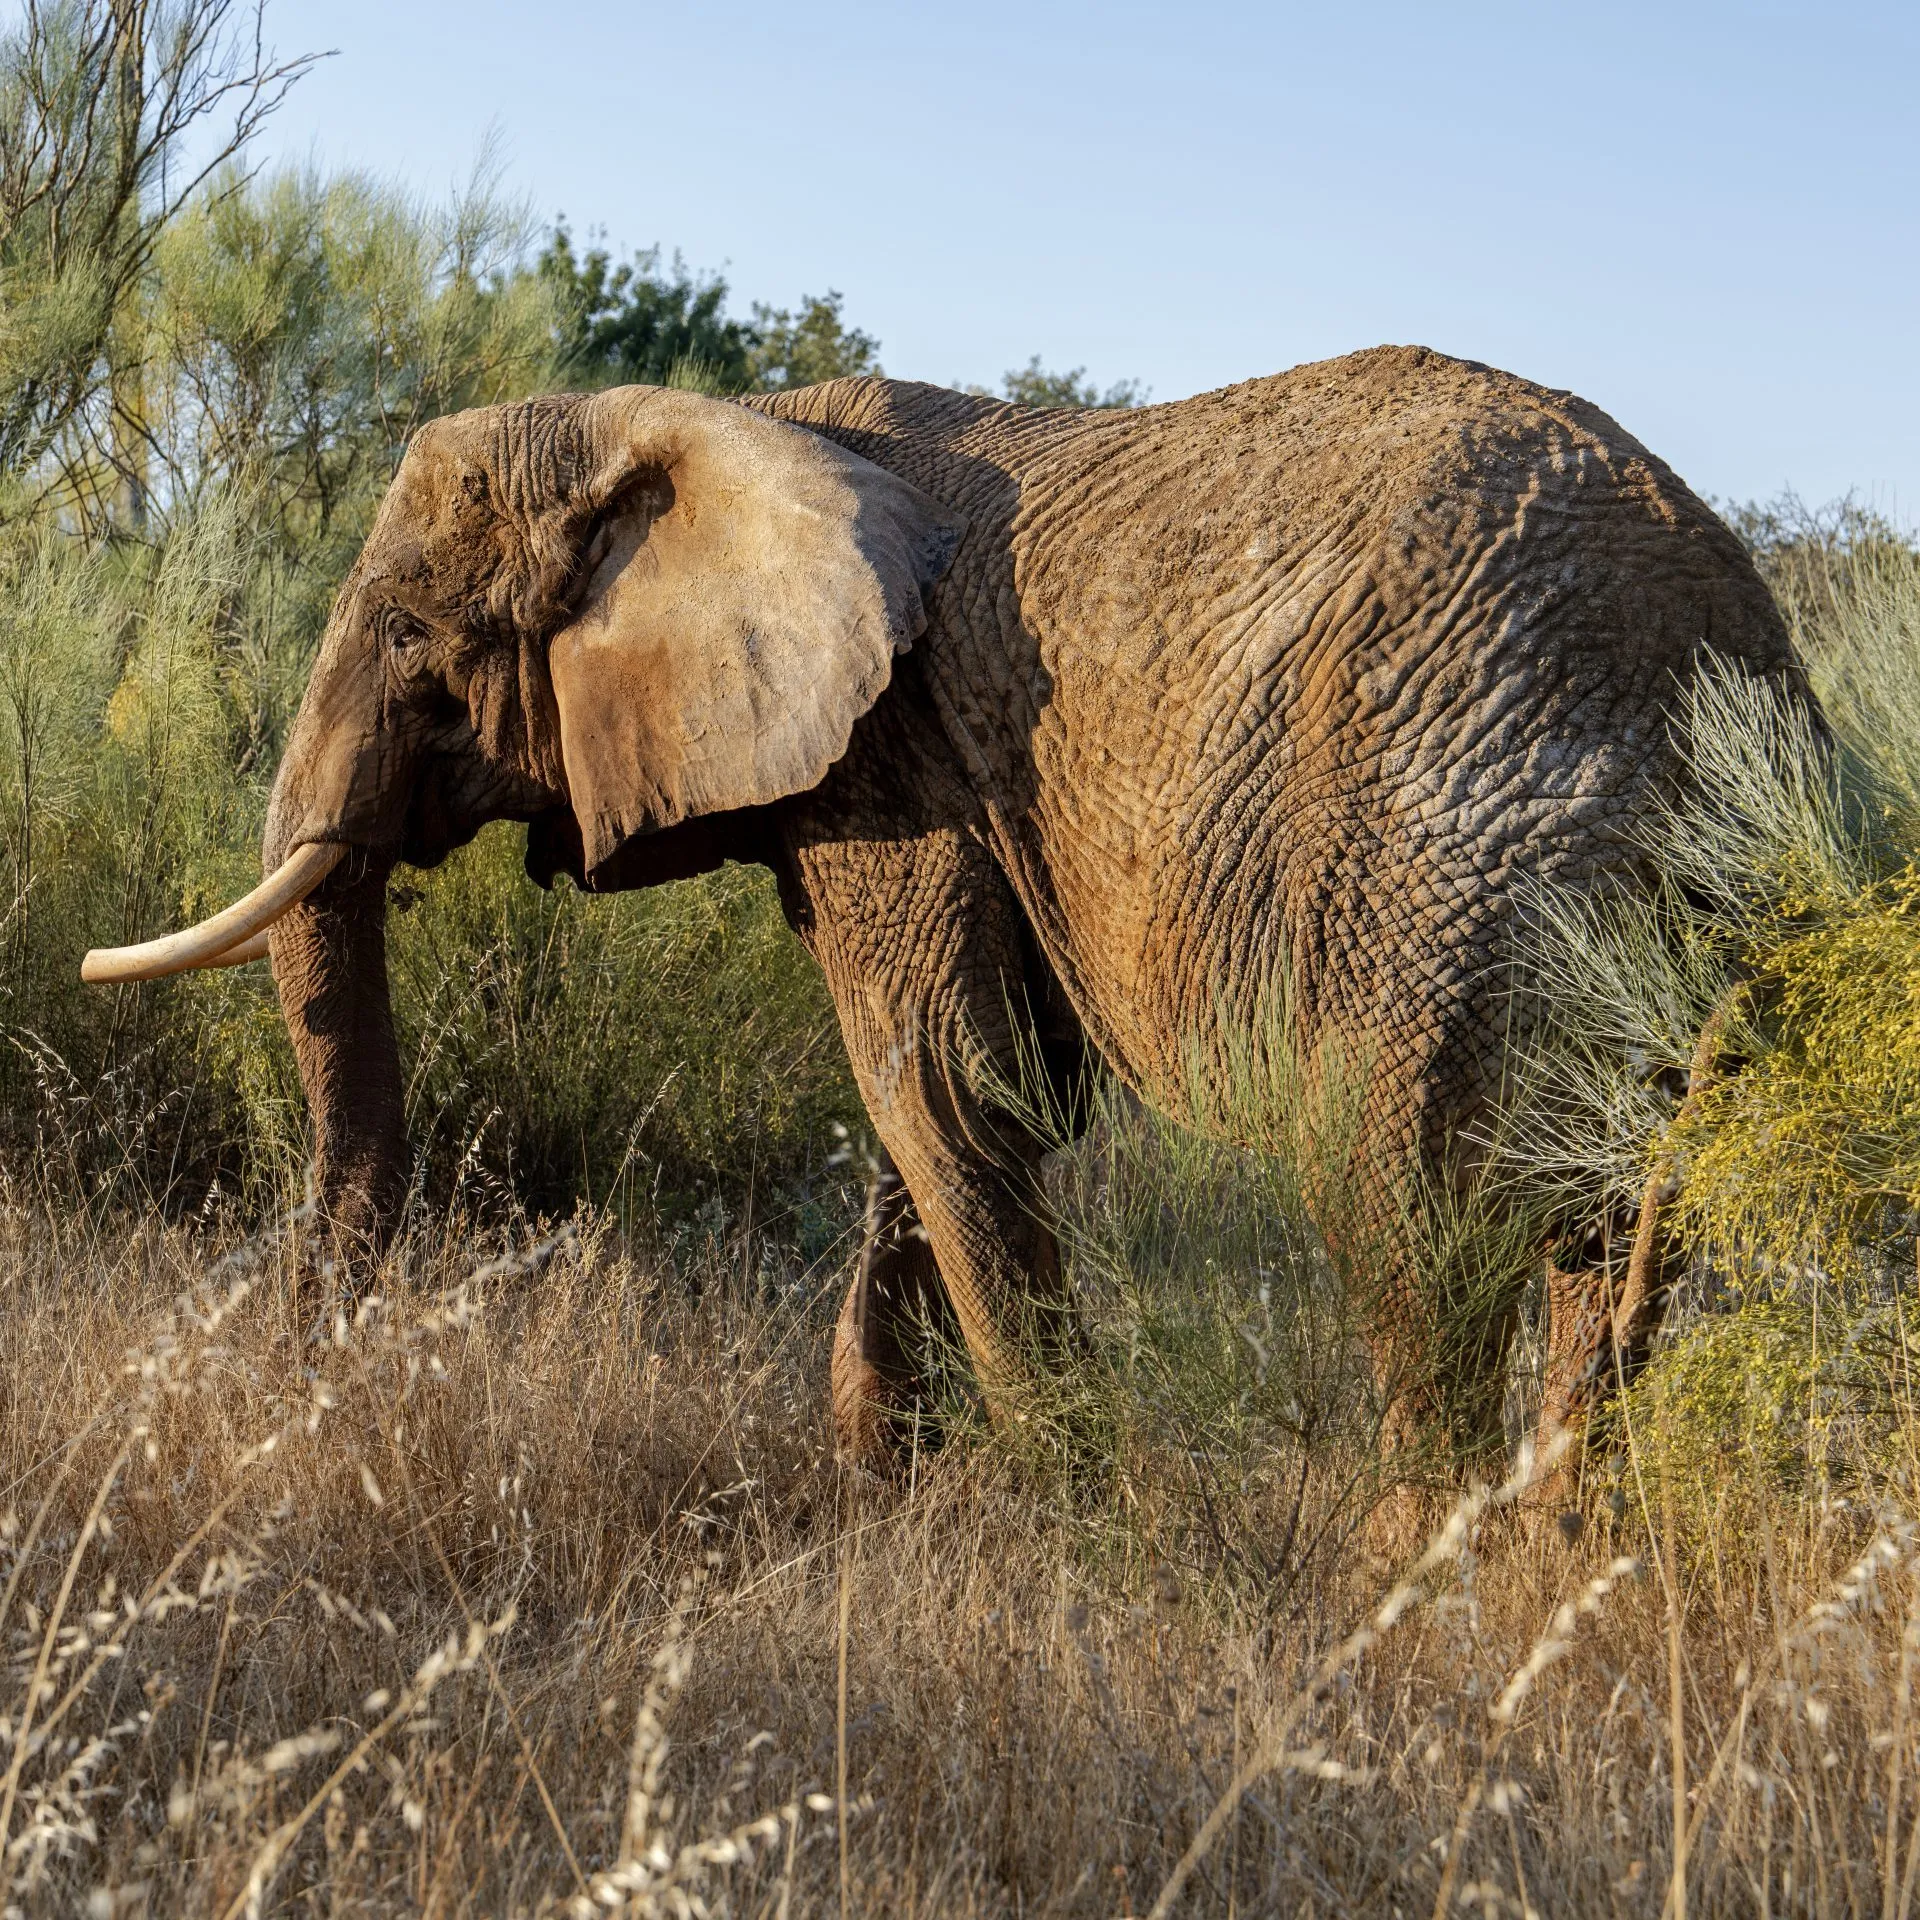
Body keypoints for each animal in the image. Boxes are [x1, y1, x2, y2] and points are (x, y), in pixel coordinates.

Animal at [84, 344, 1804, 1471]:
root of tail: (1724, 641)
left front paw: (1072, 1520)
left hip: (1446, 861)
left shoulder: (898, 767)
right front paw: (877, 1487)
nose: (279, 1398)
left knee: (1411, 1220)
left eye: (410, 634)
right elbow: (953, 1101)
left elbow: (942, 1088)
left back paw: (1407, 1591)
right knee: (1596, 1228)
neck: (716, 423)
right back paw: (1553, 1553)